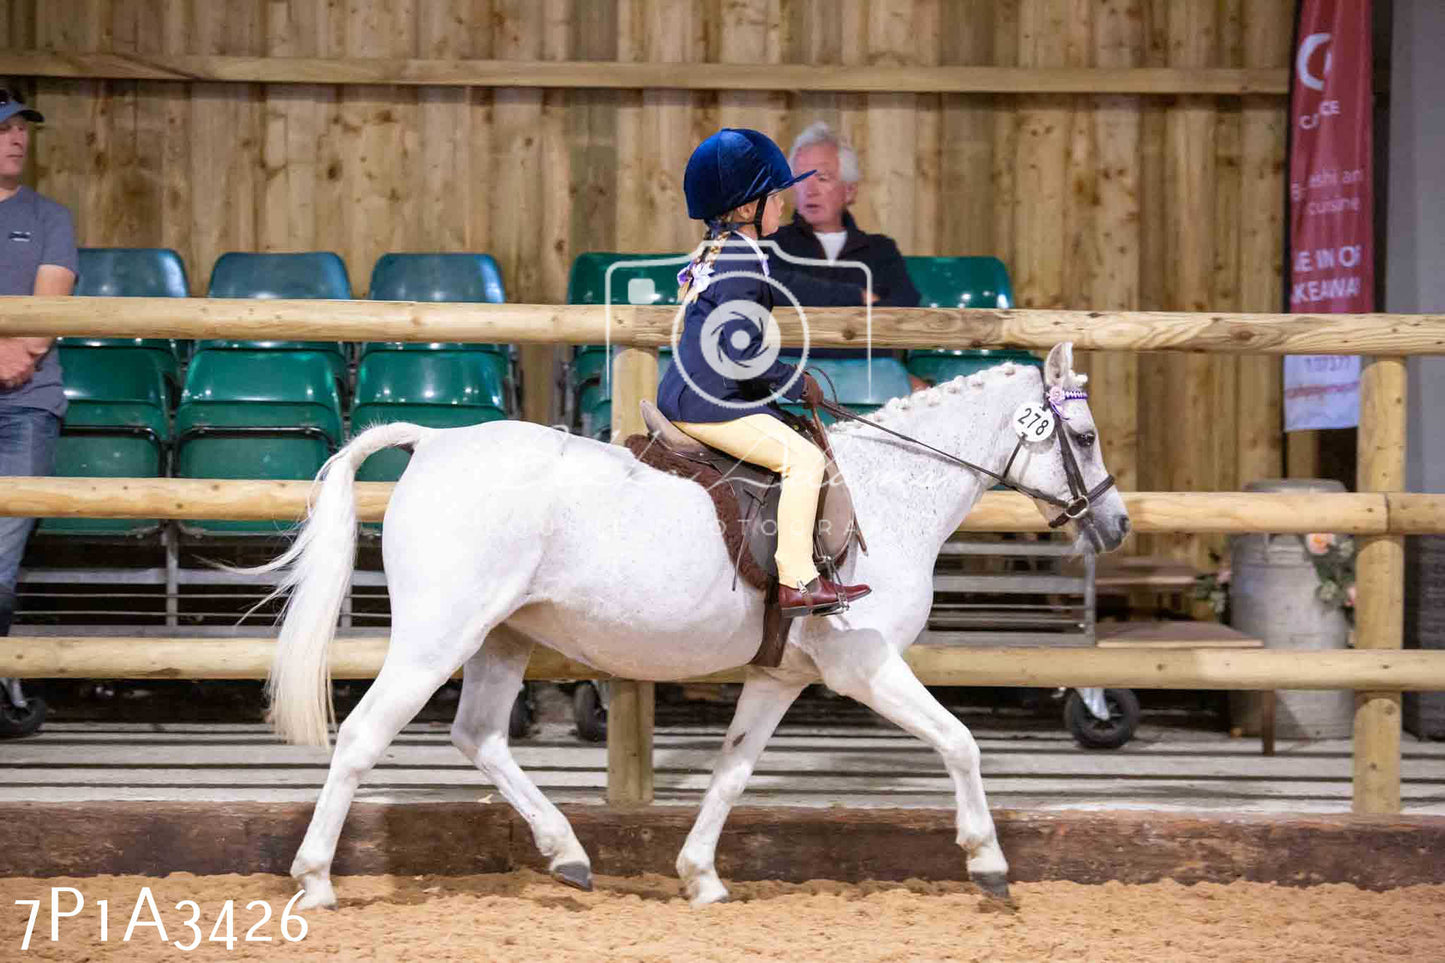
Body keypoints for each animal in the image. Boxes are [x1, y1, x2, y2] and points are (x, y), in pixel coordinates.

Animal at [254, 341, 1127, 902]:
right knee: (363, 737)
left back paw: (568, 854)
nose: (1114, 524)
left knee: (480, 736)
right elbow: (959, 741)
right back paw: (315, 879)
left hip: (504, 636)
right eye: (1083, 436)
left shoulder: (782, 674)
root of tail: (433, 442)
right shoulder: (864, 663)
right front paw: (987, 863)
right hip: (440, 636)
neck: (890, 487)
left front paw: (701, 875)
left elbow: (731, 770)